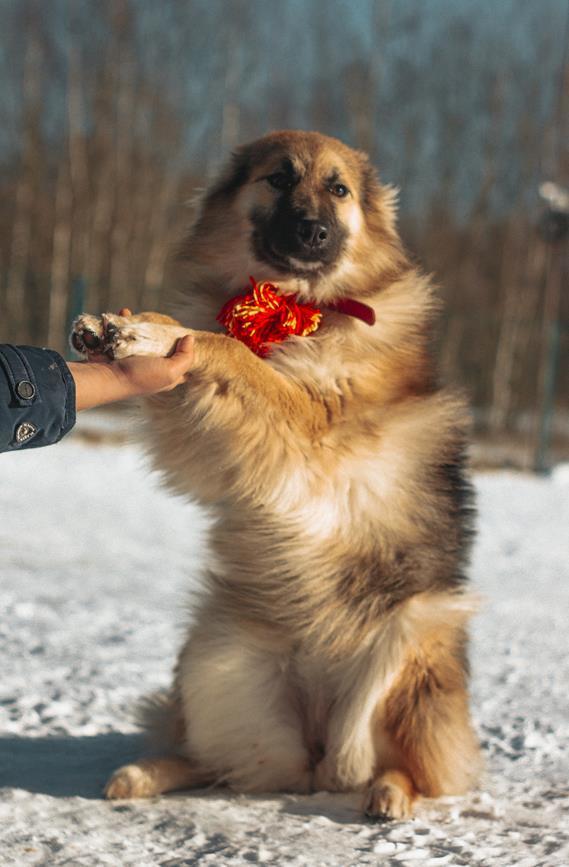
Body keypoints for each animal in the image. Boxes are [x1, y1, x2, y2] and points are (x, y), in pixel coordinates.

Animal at [72, 129, 480, 820]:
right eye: (279, 179)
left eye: (339, 189)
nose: (314, 231)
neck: (292, 302)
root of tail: (318, 745)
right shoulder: (215, 447)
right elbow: (202, 349)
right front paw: (129, 329)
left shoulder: (310, 423)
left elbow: (226, 350)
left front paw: (151, 335)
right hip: (217, 659)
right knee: (230, 768)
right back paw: (145, 775)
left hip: (414, 641)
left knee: (415, 769)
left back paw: (388, 792)